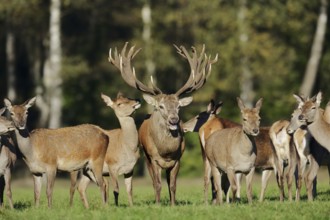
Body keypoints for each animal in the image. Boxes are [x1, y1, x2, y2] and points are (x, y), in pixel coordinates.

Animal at [107, 42, 217, 205]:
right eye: (161, 106)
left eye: (178, 106)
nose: (174, 120)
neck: (166, 151)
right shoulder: (153, 158)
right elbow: (157, 184)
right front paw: (158, 204)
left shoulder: (177, 159)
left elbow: (172, 185)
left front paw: (172, 204)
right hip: (146, 158)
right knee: (154, 182)